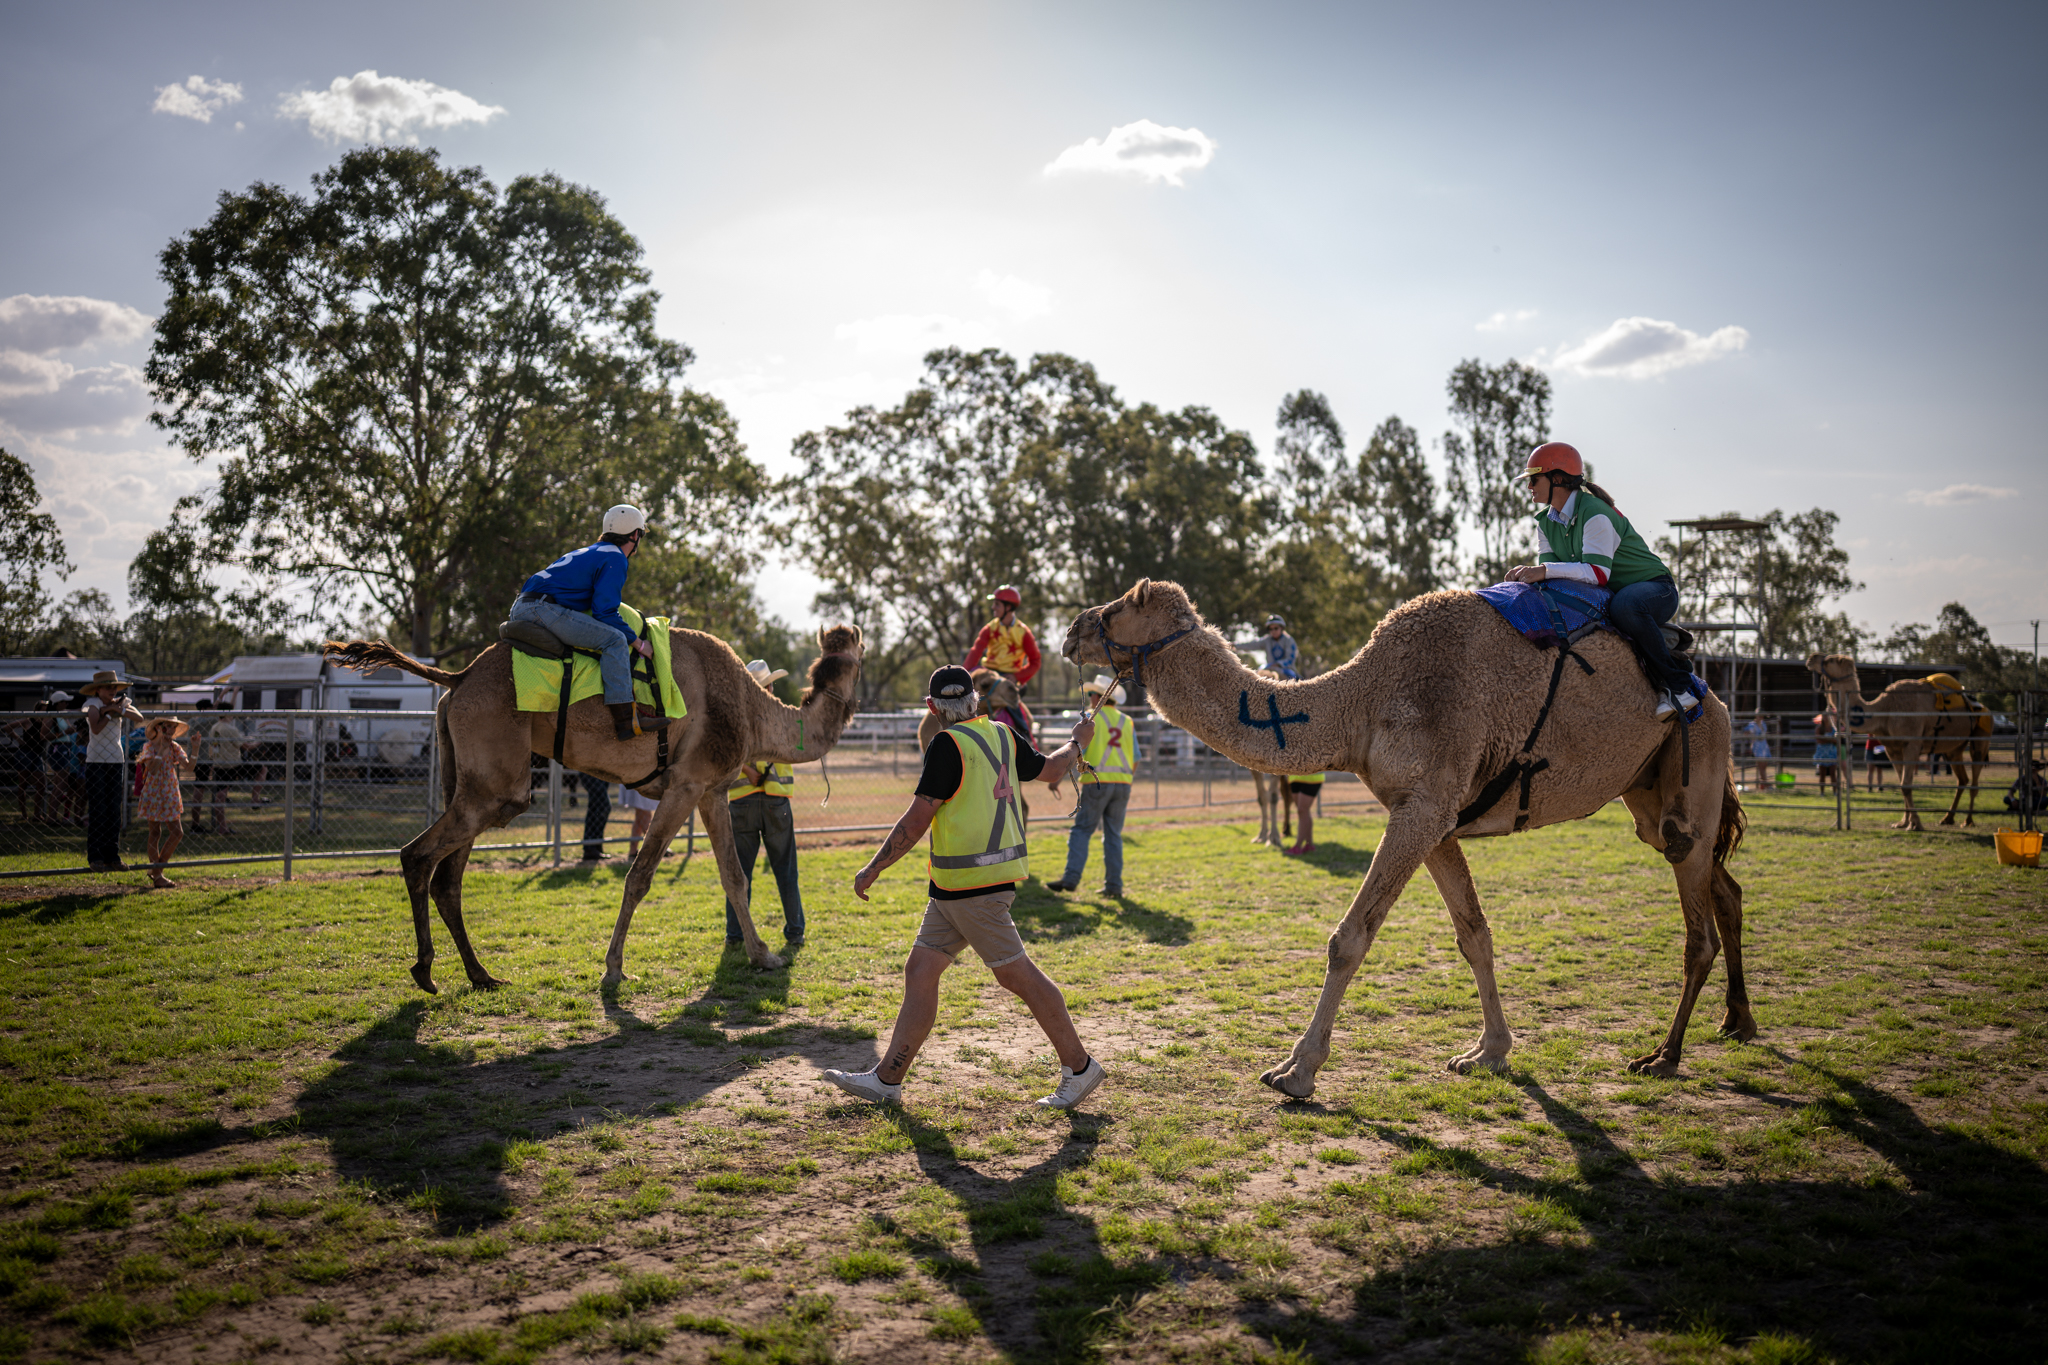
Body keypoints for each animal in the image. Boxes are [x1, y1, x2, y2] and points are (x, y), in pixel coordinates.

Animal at [322, 625, 862, 993]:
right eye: (860, 656)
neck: (753, 709)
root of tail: (457, 677)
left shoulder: (712, 789)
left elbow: (734, 876)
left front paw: (763, 957)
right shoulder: (685, 784)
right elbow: (640, 876)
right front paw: (614, 970)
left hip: (466, 778)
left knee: (447, 878)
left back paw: (482, 975)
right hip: (498, 781)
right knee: (417, 855)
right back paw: (425, 971)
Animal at [1062, 579, 1750, 1097]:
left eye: (1119, 608)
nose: (1072, 630)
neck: (1361, 702)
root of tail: (1713, 697)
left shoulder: (1422, 806)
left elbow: (1349, 939)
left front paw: (1296, 1071)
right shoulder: (1432, 815)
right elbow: (1474, 934)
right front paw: (1487, 1053)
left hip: (1693, 765)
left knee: (1697, 922)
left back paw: (1663, 1056)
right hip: (1647, 793)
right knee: (1724, 884)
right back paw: (1737, 1021)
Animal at [1805, 654, 1988, 830]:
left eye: (1830, 660)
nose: (1811, 658)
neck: (1884, 710)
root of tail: (1981, 706)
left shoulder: (1912, 743)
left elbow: (1906, 785)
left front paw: (1915, 824)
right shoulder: (1892, 748)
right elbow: (1902, 785)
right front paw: (1902, 823)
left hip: (1982, 734)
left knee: (1975, 776)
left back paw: (1968, 821)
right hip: (1954, 749)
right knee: (1962, 779)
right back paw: (1947, 819)